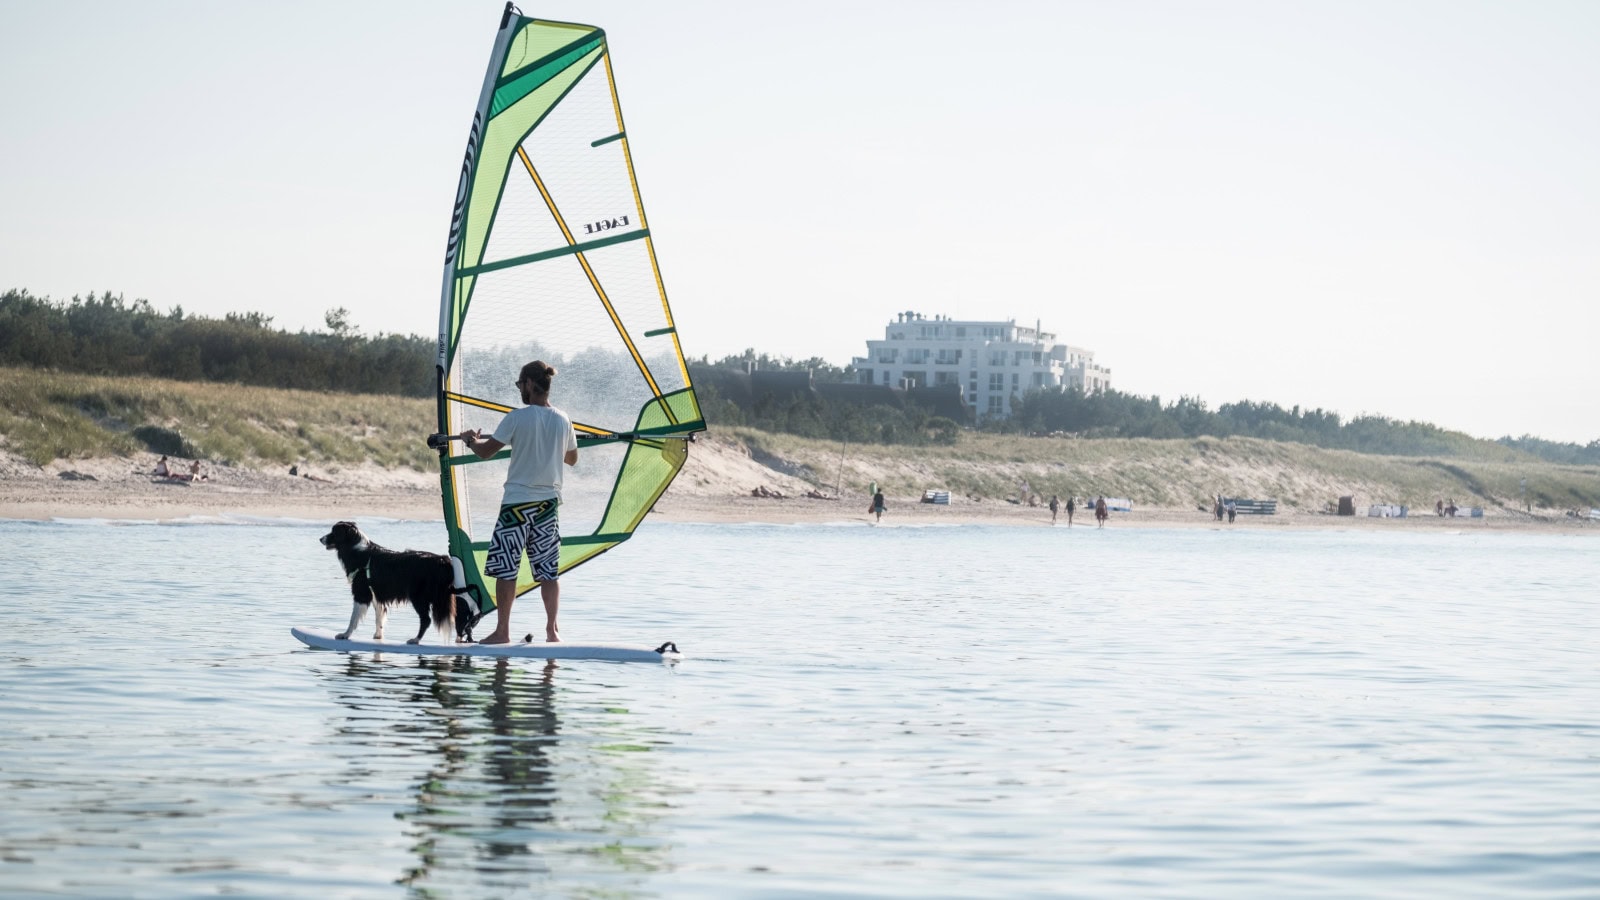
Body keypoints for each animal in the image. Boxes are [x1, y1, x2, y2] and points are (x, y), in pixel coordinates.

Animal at [318, 522, 480, 640]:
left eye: (334, 532)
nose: (320, 539)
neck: (355, 549)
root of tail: (442, 559)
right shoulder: (376, 594)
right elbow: (379, 617)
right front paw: (378, 636)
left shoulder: (361, 593)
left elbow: (353, 618)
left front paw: (345, 634)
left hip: (419, 597)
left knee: (426, 619)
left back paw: (416, 639)